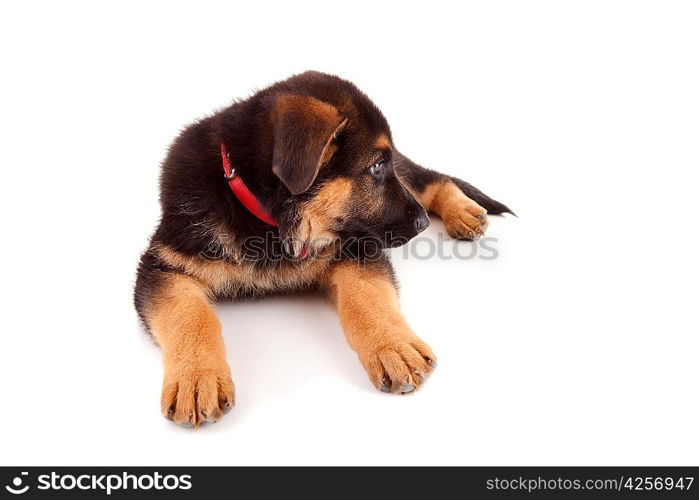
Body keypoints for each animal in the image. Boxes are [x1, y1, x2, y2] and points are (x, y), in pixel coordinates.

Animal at [134, 72, 512, 428]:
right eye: (376, 167)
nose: (421, 224)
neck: (270, 222)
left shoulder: (359, 247)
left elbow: (366, 297)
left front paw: (392, 345)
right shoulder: (163, 266)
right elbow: (189, 316)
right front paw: (197, 378)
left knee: (430, 179)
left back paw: (463, 213)